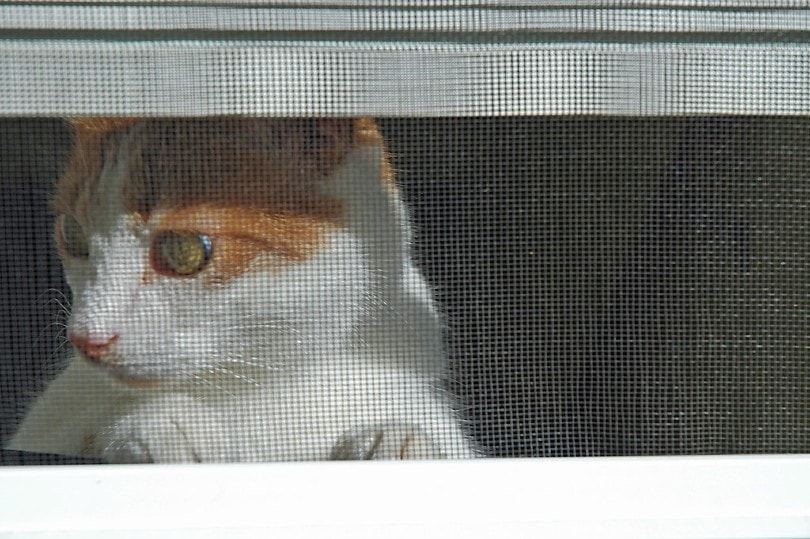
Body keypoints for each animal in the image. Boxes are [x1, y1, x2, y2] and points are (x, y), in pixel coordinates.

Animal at [7, 118, 474, 464]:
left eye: (184, 249)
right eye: (73, 234)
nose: (85, 339)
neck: (266, 385)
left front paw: (399, 443)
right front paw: (160, 422)